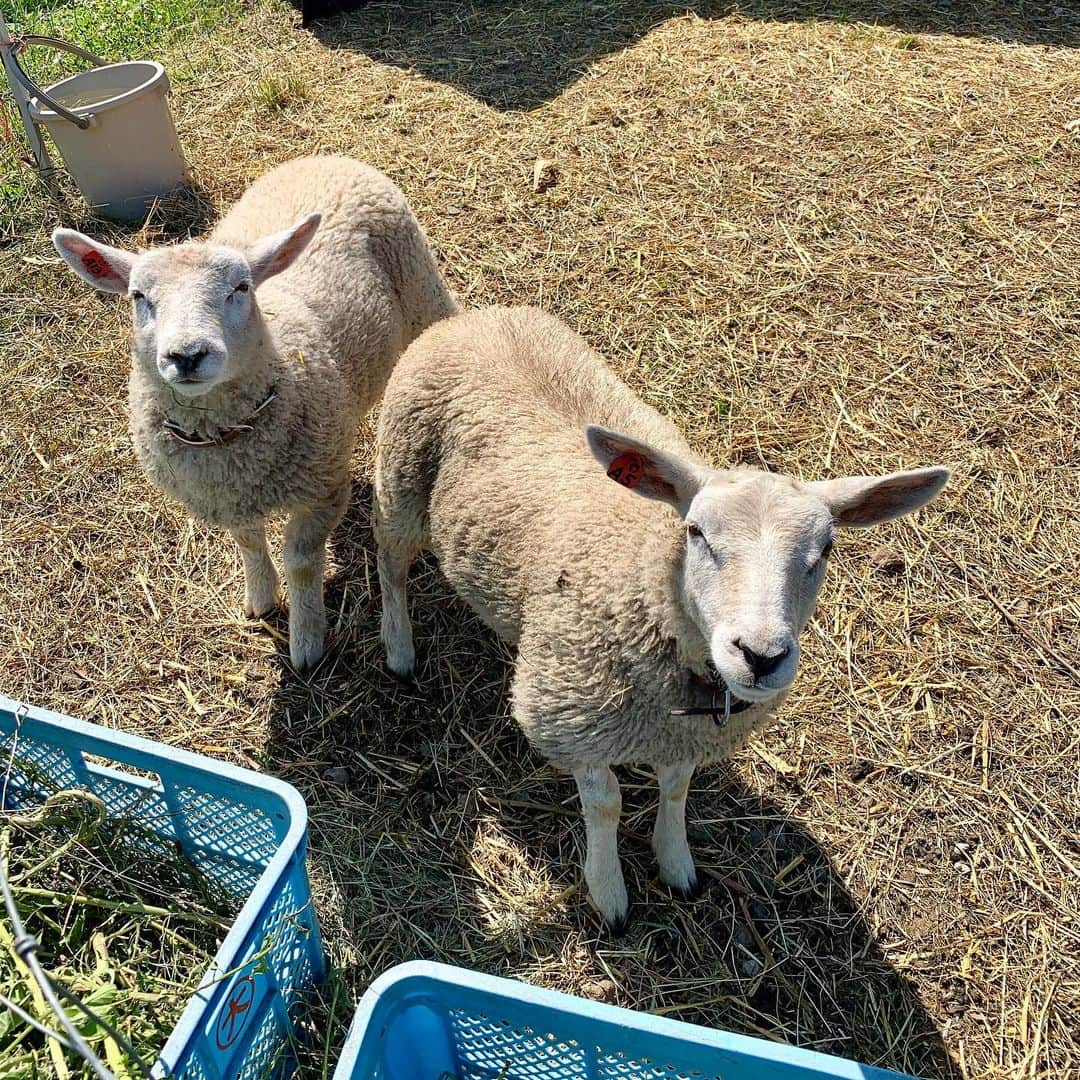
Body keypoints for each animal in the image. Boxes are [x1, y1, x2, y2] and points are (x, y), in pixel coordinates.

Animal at [52, 156, 457, 669]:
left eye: (241, 287)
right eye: (139, 297)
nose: (187, 355)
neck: (228, 443)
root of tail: (324, 157)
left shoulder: (323, 489)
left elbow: (301, 563)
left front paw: (306, 641)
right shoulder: (225, 500)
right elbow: (248, 542)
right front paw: (261, 600)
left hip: (421, 284)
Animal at [375, 304, 950, 928]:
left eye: (825, 549)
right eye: (696, 531)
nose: (760, 656)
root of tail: (470, 317)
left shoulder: (682, 736)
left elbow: (675, 789)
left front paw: (675, 862)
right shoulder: (571, 719)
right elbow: (606, 804)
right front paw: (608, 893)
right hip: (400, 481)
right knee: (391, 566)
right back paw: (399, 648)